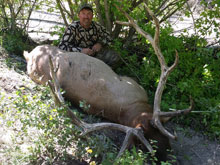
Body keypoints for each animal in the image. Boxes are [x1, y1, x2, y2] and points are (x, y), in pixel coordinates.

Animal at [23, 3, 193, 161]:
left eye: (159, 133)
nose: (169, 158)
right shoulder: (132, 83)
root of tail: (30, 54)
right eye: (146, 145)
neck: (135, 108)